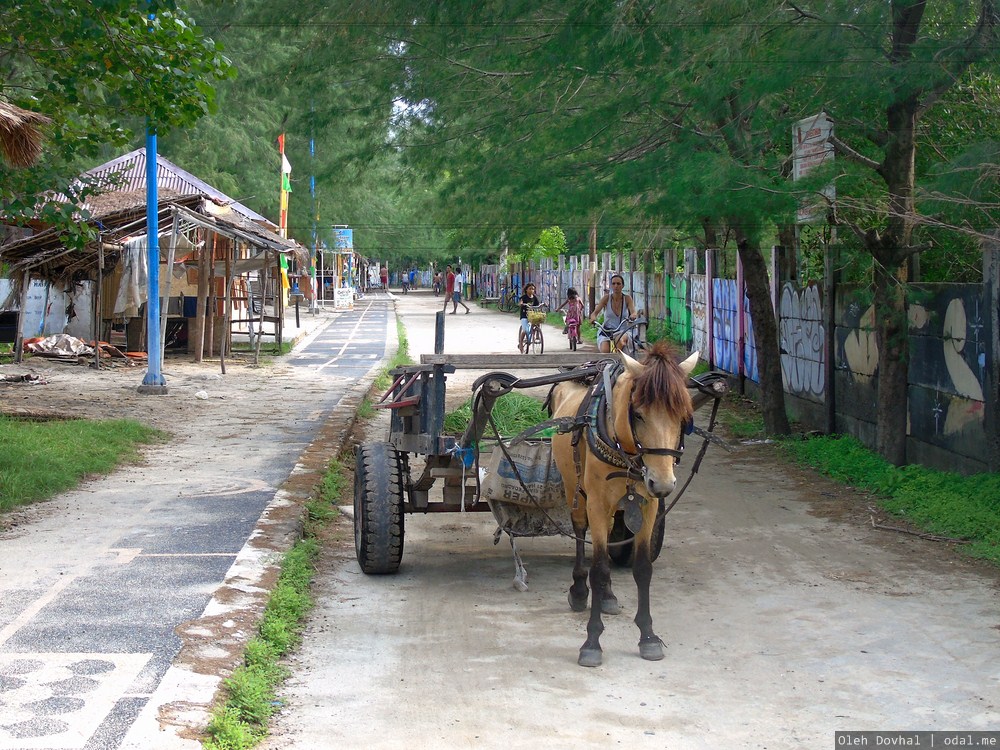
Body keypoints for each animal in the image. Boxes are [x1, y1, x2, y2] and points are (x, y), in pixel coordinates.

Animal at [548, 344, 696, 668]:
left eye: (683, 415)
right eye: (638, 414)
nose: (663, 483)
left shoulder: (648, 505)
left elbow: (642, 569)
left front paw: (648, 636)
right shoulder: (596, 503)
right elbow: (599, 568)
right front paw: (592, 641)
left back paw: (607, 596)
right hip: (575, 491)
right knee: (582, 532)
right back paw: (580, 590)